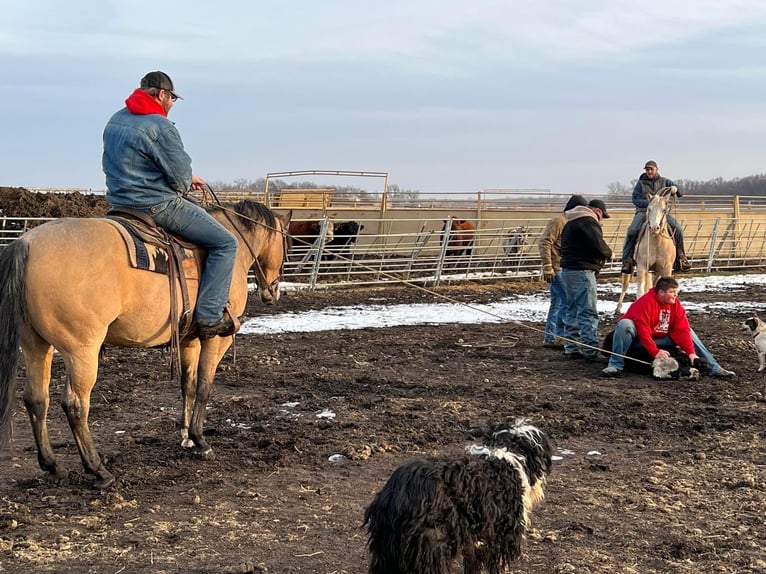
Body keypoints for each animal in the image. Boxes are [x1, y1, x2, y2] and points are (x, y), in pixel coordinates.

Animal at [0, 200, 292, 488]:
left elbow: (187, 385)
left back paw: (51, 465)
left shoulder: (189, 341)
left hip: (35, 344)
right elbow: (204, 387)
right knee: (75, 405)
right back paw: (98, 470)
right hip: (81, 350)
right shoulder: (216, 338)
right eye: (286, 243)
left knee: (36, 399)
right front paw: (200, 440)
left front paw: (185, 436)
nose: (273, 292)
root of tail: (27, 243)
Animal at [364, 420, 552, 572]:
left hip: (387, 550)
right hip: (430, 546)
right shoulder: (502, 535)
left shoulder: (477, 537)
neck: (508, 452)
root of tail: (399, 490)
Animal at [616, 187, 680, 316]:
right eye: (649, 209)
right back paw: (618, 308)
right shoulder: (642, 267)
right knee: (625, 286)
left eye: (664, 210)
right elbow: (640, 293)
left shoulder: (666, 269)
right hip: (631, 270)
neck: (657, 242)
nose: (655, 228)